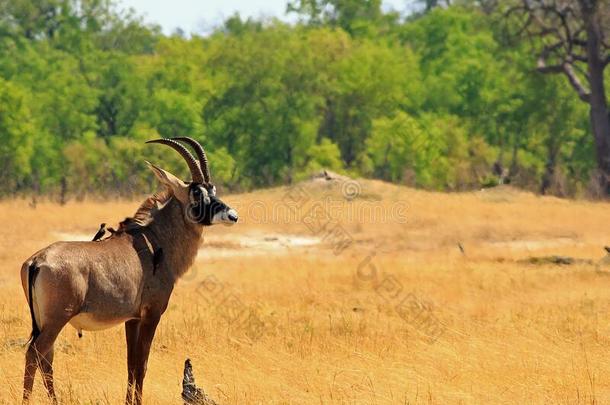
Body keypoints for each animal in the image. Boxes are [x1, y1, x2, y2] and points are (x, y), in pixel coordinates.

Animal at [19, 137, 238, 404]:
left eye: (212, 189)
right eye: (196, 193)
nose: (232, 215)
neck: (153, 240)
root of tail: (37, 261)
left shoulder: (132, 319)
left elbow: (131, 364)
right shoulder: (152, 313)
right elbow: (142, 364)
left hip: (43, 322)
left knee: (46, 358)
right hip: (56, 320)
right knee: (35, 354)